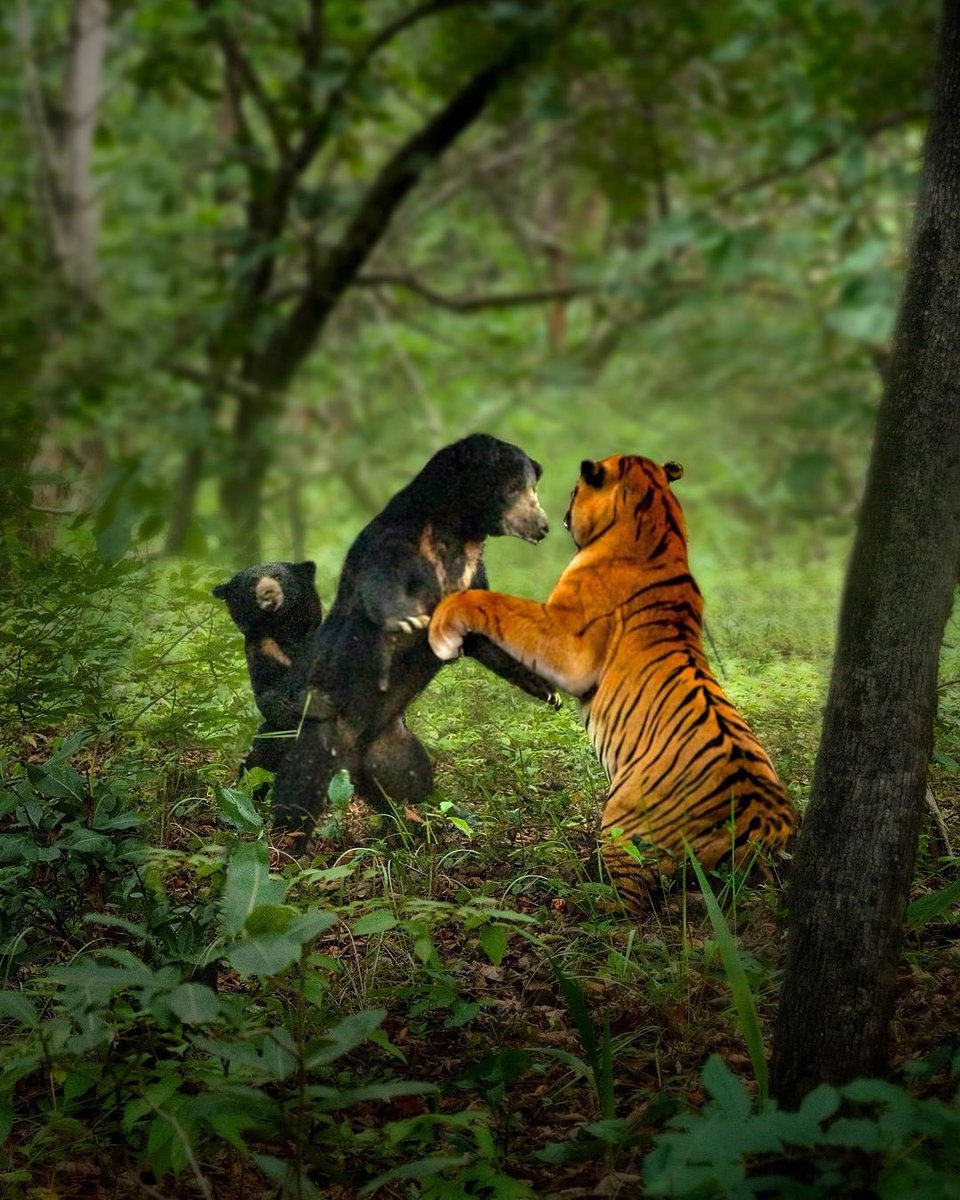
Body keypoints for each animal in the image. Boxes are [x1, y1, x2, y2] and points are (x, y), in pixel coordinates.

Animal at [270, 433, 559, 832]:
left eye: (533, 487)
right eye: (514, 488)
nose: (543, 526)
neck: (459, 532)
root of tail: (351, 759)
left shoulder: (472, 572)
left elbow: (483, 638)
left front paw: (547, 690)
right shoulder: (397, 543)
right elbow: (380, 583)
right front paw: (405, 621)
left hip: (395, 750)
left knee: (412, 783)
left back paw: (410, 825)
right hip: (319, 736)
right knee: (296, 794)